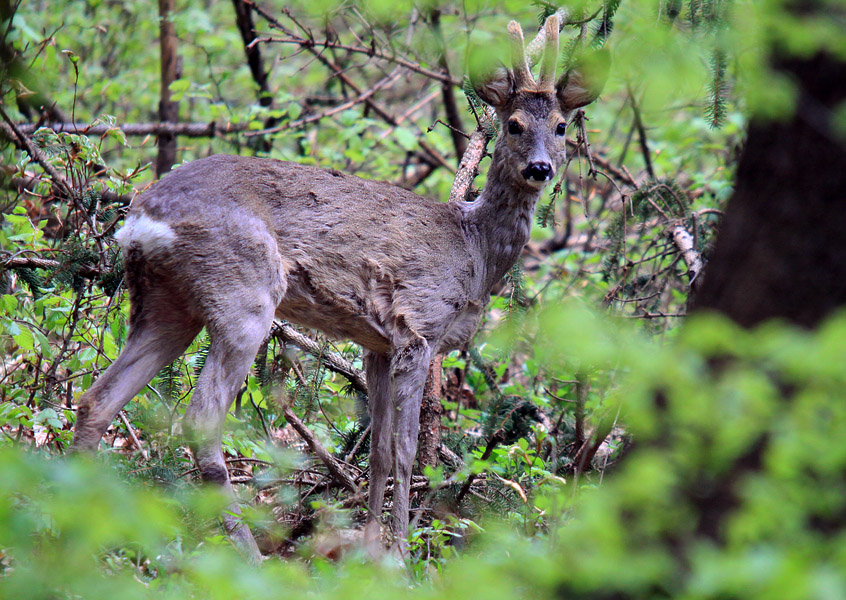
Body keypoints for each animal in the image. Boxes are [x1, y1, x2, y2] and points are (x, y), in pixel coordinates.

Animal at [69, 17, 608, 564]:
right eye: (513, 124)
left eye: (561, 127)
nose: (540, 169)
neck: (474, 252)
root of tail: (140, 219)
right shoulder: (418, 327)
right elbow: (406, 453)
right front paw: (402, 557)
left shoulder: (377, 344)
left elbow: (379, 451)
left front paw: (370, 554)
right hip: (243, 293)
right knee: (199, 420)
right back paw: (249, 554)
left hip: (165, 305)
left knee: (95, 401)